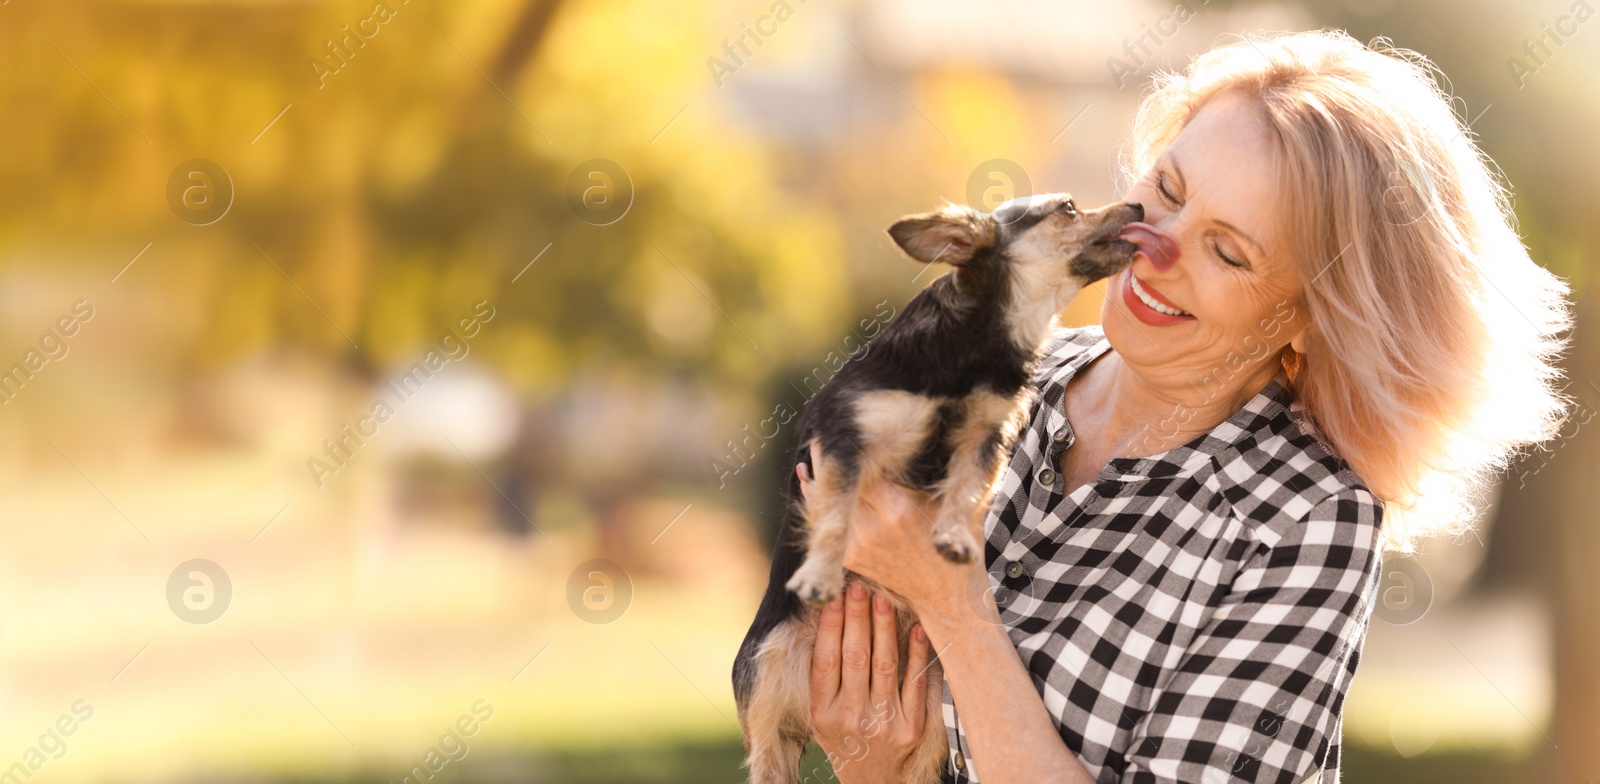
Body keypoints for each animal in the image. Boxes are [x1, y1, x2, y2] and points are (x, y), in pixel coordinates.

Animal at [732, 191, 1145, 784]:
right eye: (1068, 208)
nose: (1139, 203)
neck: (975, 349)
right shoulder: (845, 438)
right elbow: (835, 513)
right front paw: (821, 571)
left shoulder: (986, 436)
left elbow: (967, 491)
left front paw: (954, 535)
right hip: (767, 673)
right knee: (769, 756)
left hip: (933, 699)